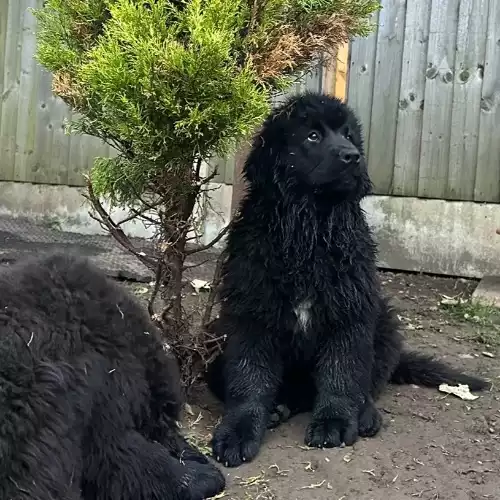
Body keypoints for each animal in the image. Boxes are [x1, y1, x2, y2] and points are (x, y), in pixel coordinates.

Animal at [204, 91, 488, 468]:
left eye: (349, 135)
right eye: (312, 136)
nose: (353, 156)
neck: (309, 230)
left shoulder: (350, 310)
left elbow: (342, 373)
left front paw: (335, 422)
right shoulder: (252, 312)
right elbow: (249, 377)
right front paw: (238, 430)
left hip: (383, 320)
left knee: (367, 380)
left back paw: (362, 413)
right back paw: (278, 407)